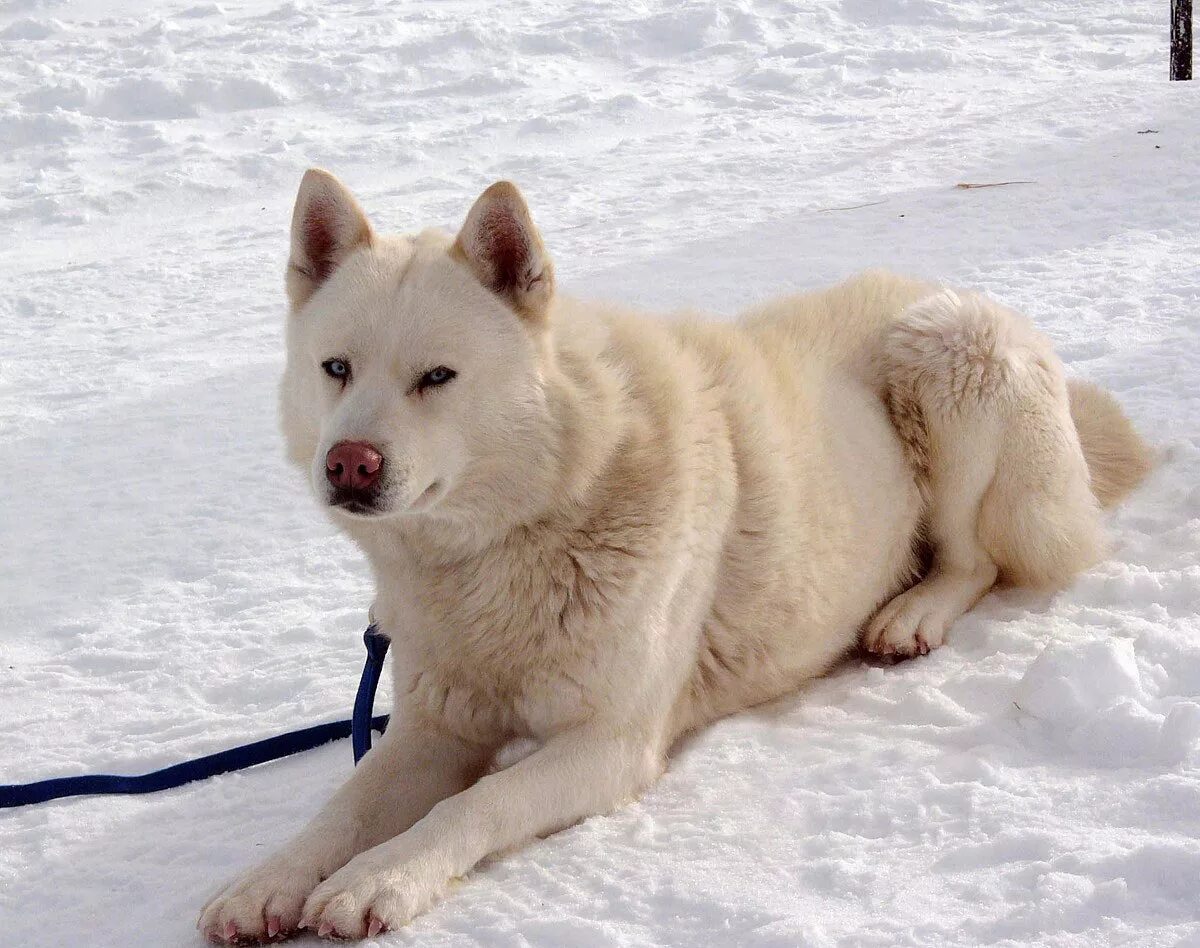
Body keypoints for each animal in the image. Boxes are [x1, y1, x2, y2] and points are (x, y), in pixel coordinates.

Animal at [199, 170, 1152, 940]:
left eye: (437, 377)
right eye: (336, 368)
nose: (348, 464)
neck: (516, 539)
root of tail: (944, 288)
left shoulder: (610, 744)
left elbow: (475, 804)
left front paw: (379, 880)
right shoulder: (437, 727)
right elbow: (343, 808)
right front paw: (269, 882)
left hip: (947, 360)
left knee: (975, 560)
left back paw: (908, 614)